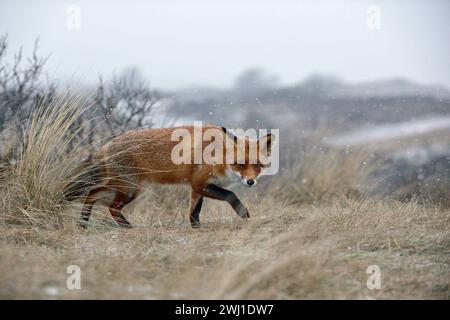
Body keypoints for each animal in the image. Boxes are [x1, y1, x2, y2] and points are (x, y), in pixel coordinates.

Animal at [68, 124, 272, 228]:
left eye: (258, 165)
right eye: (241, 164)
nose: (250, 181)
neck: (217, 154)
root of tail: (107, 144)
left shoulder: (197, 186)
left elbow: (195, 211)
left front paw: (195, 227)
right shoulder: (199, 182)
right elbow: (231, 195)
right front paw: (243, 213)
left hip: (124, 187)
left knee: (93, 194)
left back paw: (83, 223)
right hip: (130, 189)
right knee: (110, 206)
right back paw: (127, 227)